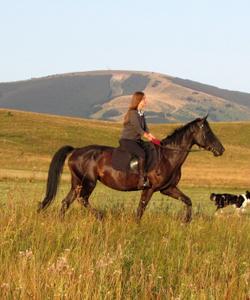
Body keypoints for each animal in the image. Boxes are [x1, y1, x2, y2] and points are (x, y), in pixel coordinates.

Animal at [38, 117, 226, 223]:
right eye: (208, 132)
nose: (221, 150)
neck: (167, 156)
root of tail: (76, 150)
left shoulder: (168, 189)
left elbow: (188, 201)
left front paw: (186, 221)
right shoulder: (150, 188)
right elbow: (140, 209)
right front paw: (136, 226)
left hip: (77, 182)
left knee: (66, 202)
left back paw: (61, 223)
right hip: (89, 182)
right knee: (82, 199)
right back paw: (100, 217)